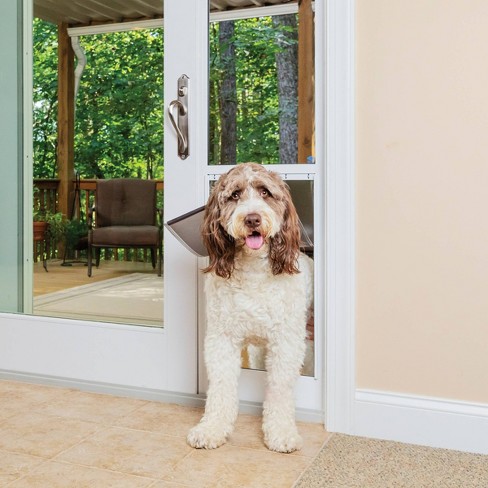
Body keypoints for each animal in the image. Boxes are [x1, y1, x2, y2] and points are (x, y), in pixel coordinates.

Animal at [187, 164, 312, 454]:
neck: (255, 269)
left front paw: (281, 432)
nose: (252, 219)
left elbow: (279, 388)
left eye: (265, 192)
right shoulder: (221, 339)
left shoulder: (286, 342)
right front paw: (212, 428)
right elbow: (221, 386)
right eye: (235, 195)